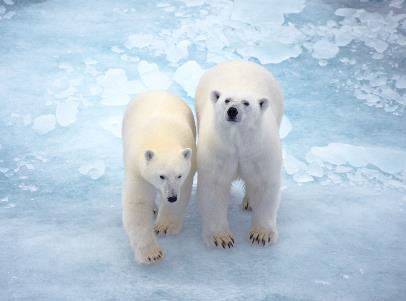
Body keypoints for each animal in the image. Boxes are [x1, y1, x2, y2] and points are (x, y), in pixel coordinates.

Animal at [121, 91, 196, 262]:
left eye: (179, 175)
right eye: (161, 176)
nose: (172, 197)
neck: (162, 138)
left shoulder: (189, 168)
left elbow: (183, 194)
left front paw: (164, 227)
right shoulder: (138, 169)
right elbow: (138, 203)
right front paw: (151, 253)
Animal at [195, 59, 284, 247]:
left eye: (246, 103)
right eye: (226, 100)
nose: (232, 110)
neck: (238, 141)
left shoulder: (259, 150)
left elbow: (264, 184)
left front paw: (261, 235)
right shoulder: (219, 151)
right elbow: (214, 186)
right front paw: (221, 238)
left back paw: (249, 201)